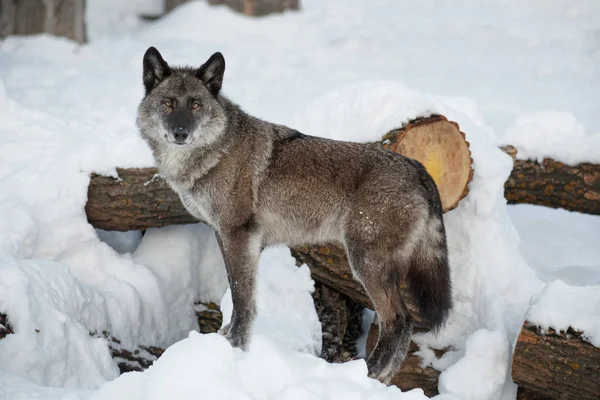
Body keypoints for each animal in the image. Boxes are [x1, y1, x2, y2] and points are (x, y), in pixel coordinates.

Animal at [138, 47, 452, 384]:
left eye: (195, 104)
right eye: (169, 103)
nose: (180, 133)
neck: (215, 152)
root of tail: (417, 167)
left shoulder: (238, 235)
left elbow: (242, 298)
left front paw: (236, 348)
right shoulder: (222, 234)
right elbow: (237, 294)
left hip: (366, 264)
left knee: (397, 320)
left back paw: (367, 374)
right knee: (404, 322)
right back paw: (381, 380)